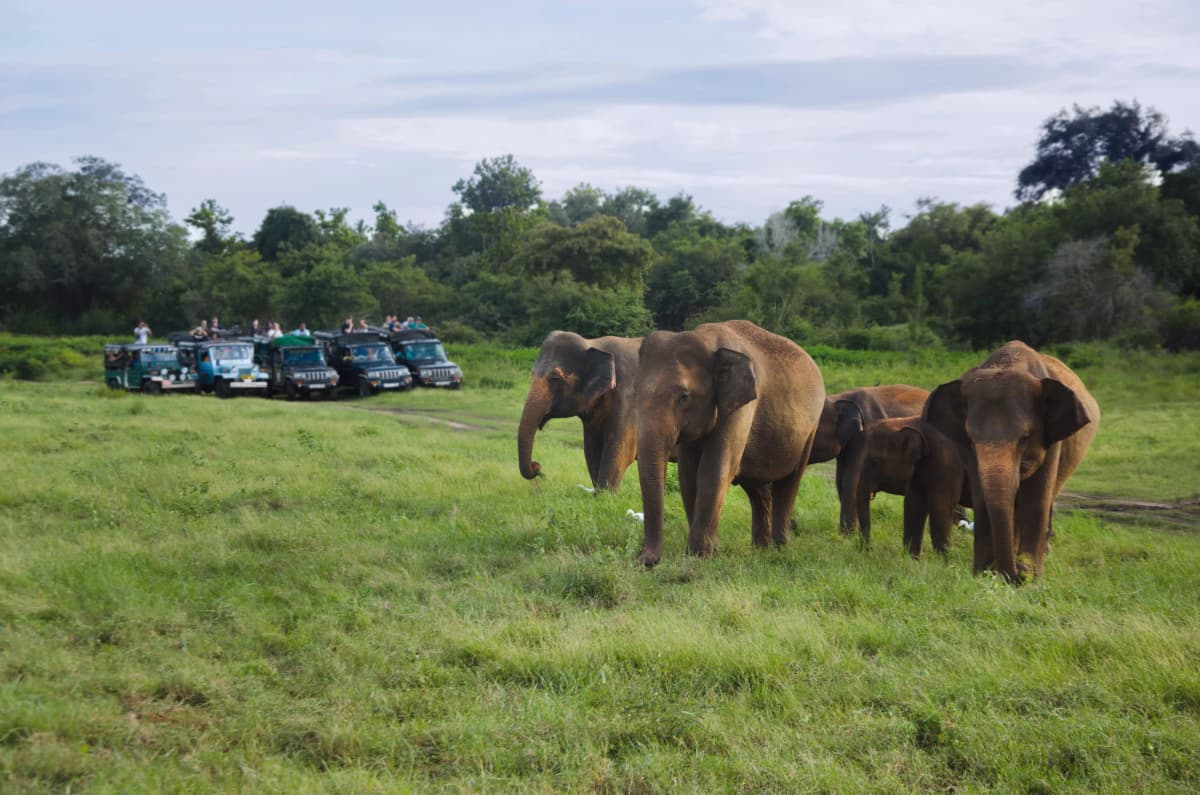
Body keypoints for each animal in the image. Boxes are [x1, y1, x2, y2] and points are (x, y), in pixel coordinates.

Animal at [518, 331, 641, 491]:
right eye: (532, 373)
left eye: (556, 378)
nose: (537, 466)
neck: (593, 344)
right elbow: (591, 449)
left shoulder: (628, 397)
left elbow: (621, 450)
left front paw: (604, 494)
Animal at [634, 320, 825, 566]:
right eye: (637, 392)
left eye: (684, 396)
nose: (645, 561)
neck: (706, 338)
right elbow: (688, 475)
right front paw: (708, 551)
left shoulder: (741, 409)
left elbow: (714, 470)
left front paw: (700, 555)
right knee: (758, 490)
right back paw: (760, 549)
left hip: (810, 429)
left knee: (789, 484)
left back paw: (780, 548)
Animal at [840, 416, 972, 557]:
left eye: (875, 461)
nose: (869, 550)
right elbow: (913, 505)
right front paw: (911, 559)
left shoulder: (947, 463)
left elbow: (940, 507)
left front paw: (944, 560)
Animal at [925, 340, 1099, 581]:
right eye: (970, 439)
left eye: (1025, 438)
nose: (1017, 573)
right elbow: (982, 497)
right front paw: (982, 572)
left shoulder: (1052, 440)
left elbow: (1036, 496)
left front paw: (1031, 575)